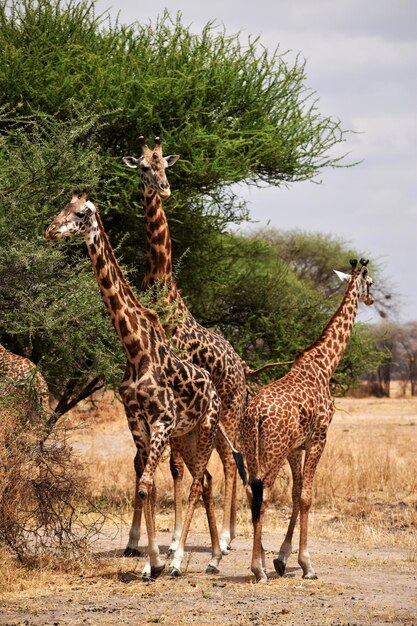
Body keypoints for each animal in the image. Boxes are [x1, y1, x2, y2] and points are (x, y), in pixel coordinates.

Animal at [44, 189, 224, 576]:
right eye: (61, 208)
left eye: (79, 213)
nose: (51, 230)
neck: (134, 347)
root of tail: (213, 386)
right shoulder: (138, 421)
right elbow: (148, 487)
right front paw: (149, 563)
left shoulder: (162, 420)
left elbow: (145, 484)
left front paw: (159, 561)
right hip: (186, 436)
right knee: (204, 481)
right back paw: (215, 556)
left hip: (205, 426)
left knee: (198, 482)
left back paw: (180, 560)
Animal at [122, 135, 247, 552]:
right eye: (144, 166)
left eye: (166, 165)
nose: (163, 188)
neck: (162, 280)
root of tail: (243, 369)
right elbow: (143, 462)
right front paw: (135, 541)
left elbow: (175, 467)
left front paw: (175, 538)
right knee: (224, 459)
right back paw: (223, 534)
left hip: (229, 412)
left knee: (229, 459)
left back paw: (227, 536)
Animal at [240, 258, 374, 580]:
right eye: (371, 283)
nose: (373, 299)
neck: (325, 365)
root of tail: (256, 413)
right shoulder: (318, 439)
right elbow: (306, 497)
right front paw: (306, 564)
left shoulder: (295, 447)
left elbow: (295, 493)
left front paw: (281, 558)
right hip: (272, 451)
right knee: (263, 495)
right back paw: (258, 570)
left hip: (252, 447)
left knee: (252, 492)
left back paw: (262, 563)